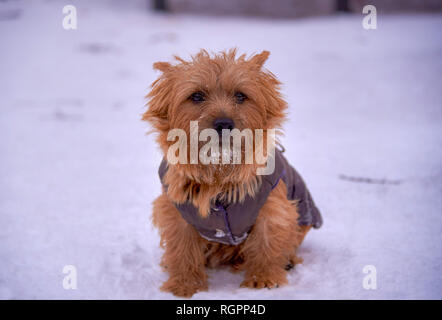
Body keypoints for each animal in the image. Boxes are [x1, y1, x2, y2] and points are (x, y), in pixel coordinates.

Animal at [143, 49, 322, 298]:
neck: (219, 171)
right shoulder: (176, 211)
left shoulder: (272, 207)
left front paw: (263, 279)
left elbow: (268, 242)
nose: (224, 123)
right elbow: (182, 249)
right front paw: (186, 284)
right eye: (196, 96)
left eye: (240, 96)